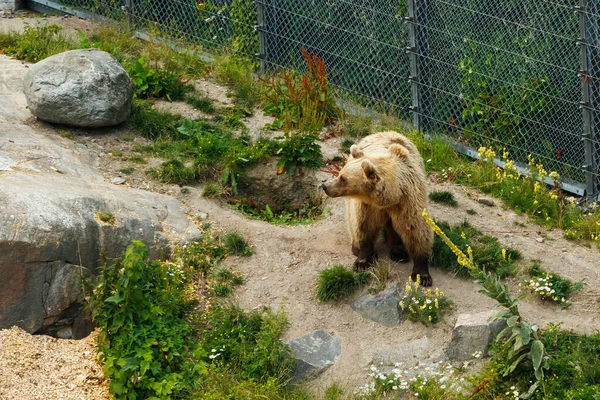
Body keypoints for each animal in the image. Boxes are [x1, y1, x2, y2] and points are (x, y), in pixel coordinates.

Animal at [322, 133, 434, 286]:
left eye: (343, 178)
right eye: (340, 173)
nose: (325, 186)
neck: (391, 196)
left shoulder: (408, 201)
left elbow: (416, 230)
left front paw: (422, 275)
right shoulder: (367, 206)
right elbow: (364, 227)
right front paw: (362, 262)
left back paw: (398, 252)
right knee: (352, 221)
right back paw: (357, 248)